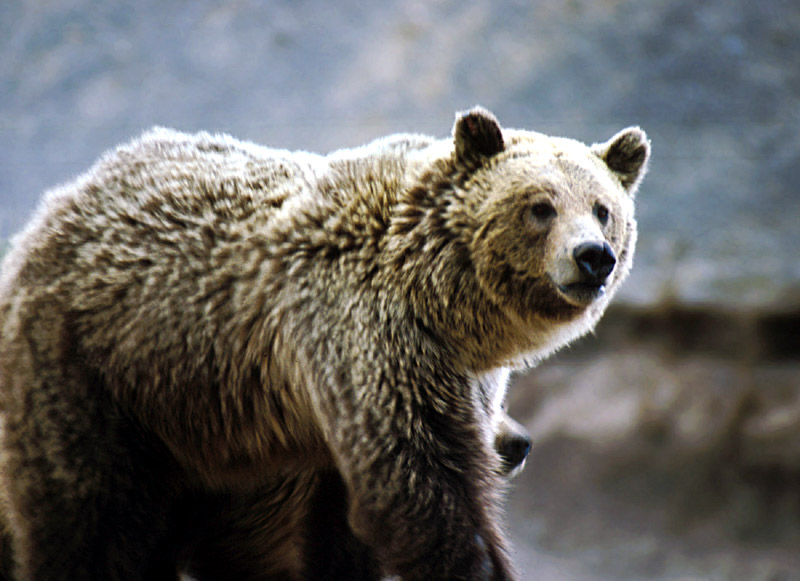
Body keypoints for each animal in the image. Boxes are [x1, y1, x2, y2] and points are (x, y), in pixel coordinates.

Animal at [0, 106, 648, 576]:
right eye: (540, 206)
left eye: (603, 208)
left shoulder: (441, 382)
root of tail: (51, 211)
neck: (440, 298)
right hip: (97, 374)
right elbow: (423, 490)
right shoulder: (367, 338)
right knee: (90, 517)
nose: (593, 256)